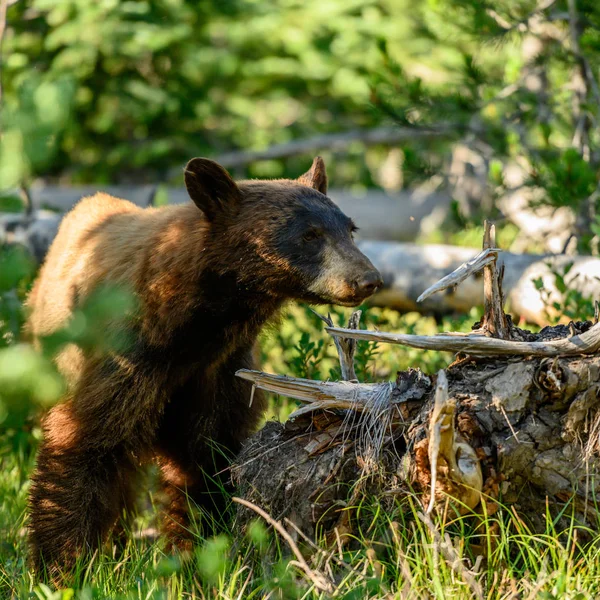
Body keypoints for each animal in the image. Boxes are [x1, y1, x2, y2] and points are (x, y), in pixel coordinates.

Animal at [25, 157, 382, 580]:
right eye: (309, 235)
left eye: (350, 229)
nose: (368, 279)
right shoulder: (126, 358)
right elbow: (86, 443)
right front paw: (63, 566)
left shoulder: (223, 369)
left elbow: (208, 456)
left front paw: (198, 549)